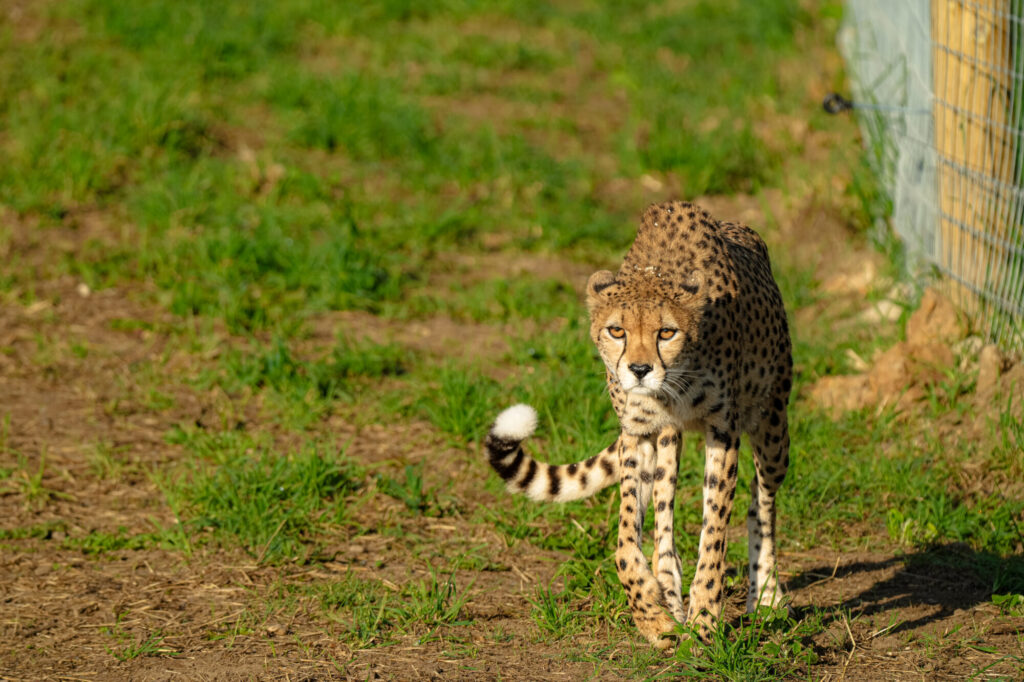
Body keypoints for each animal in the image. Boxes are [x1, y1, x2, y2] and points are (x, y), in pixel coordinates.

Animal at [485, 200, 792, 648]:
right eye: (617, 330)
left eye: (667, 332)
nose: (640, 370)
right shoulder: (638, 433)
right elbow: (627, 540)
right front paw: (653, 616)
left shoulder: (724, 431)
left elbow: (714, 535)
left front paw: (704, 620)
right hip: (669, 443)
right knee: (665, 520)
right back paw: (669, 592)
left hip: (773, 426)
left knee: (762, 503)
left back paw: (766, 594)